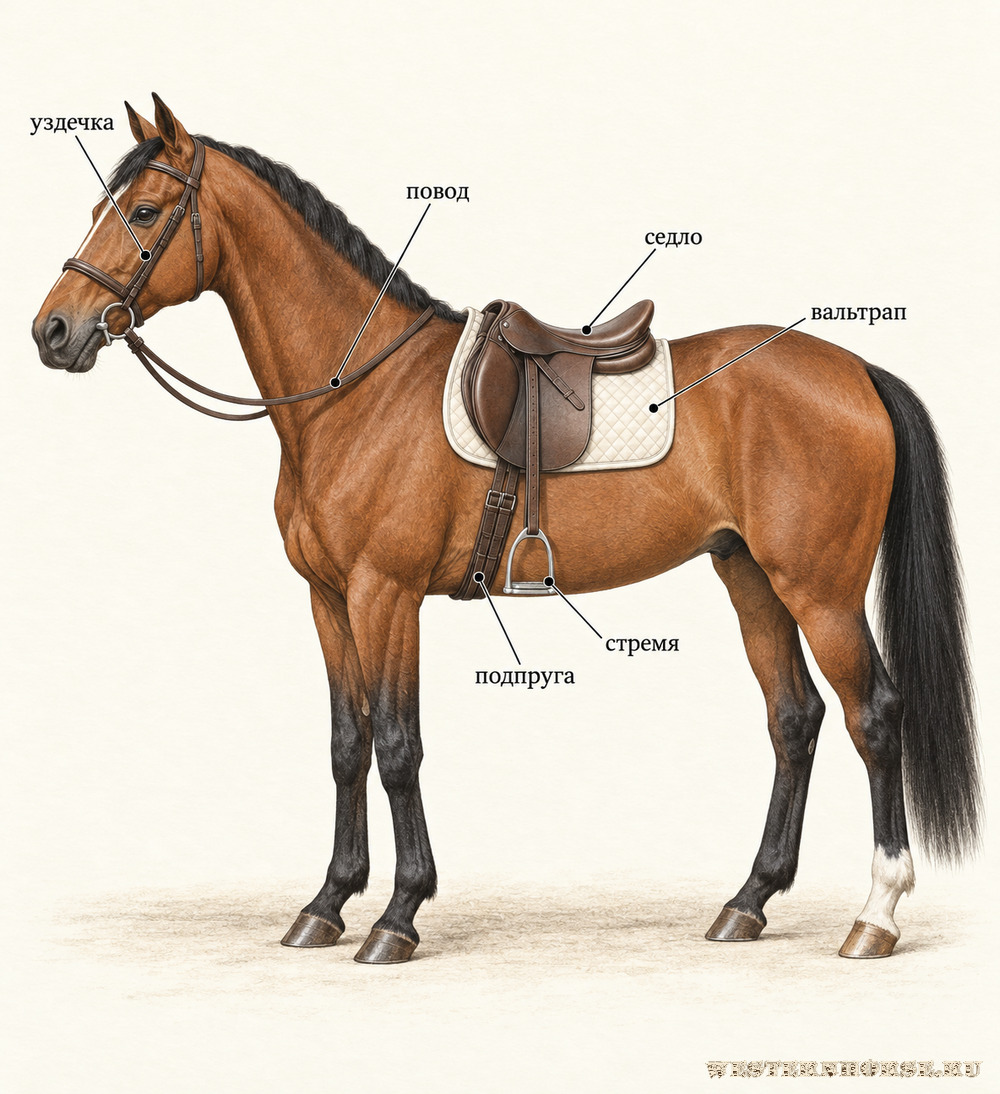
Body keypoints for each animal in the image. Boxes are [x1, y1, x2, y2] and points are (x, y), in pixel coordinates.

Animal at [32, 96, 981, 964]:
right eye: (98, 208)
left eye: (144, 212)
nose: (54, 330)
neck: (355, 391)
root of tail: (855, 368)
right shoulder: (328, 600)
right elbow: (345, 745)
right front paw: (327, 904)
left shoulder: (386, 595)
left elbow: (396, 746)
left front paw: (397, 916)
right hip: (749, 578)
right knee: (795, 719)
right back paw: (746, 902)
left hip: (820, 592)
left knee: (873, 716)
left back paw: (875, 916)